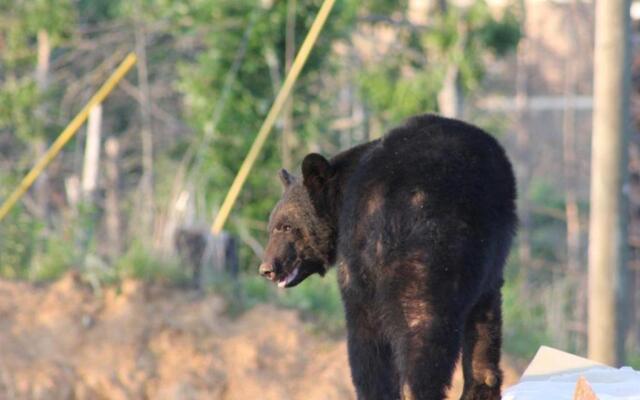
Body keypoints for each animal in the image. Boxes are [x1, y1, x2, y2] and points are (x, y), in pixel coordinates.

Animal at [258, 114, 516, 398]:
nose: (267, 268)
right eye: (273, 226)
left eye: (286, 226)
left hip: (418, 259)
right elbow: (485, 321)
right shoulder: (491, 262)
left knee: (396, 334)